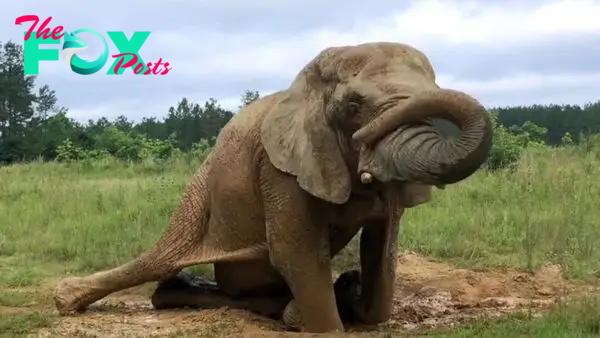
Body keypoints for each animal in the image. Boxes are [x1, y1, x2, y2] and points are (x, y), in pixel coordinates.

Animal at [52, 41, 492, 332]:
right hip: (198, 192)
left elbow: (381, 250)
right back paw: (68, 298)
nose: (366, 148)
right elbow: (297, 252)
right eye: (352, 107)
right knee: (160, 259)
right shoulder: (277, 166)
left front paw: (351, 293)